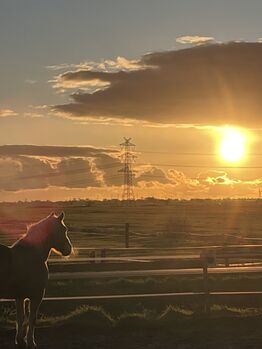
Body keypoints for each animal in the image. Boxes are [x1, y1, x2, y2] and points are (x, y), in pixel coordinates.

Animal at [0, 211, 72, 346]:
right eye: (64, 229)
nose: (69, 249)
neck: (32, 255)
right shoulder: (37, 296)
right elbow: (32, 318)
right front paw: (31, 341)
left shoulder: (20, 297)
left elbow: (21, 317)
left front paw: (20, 340)